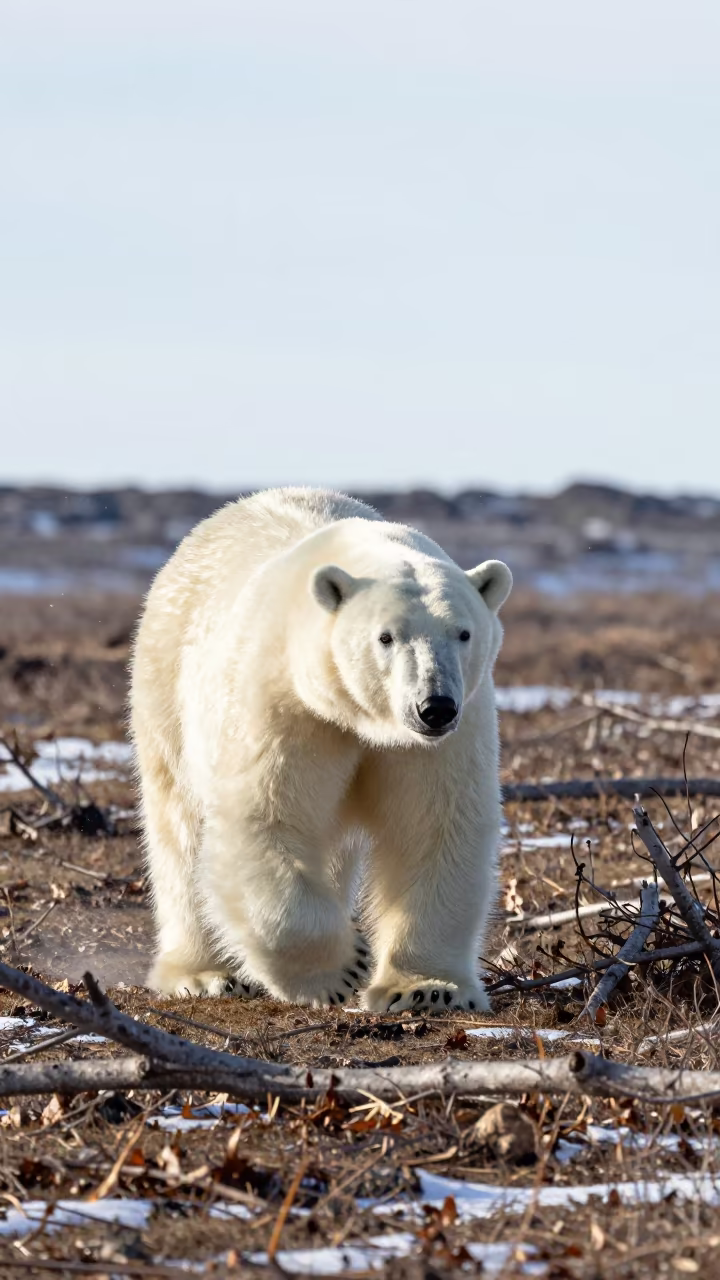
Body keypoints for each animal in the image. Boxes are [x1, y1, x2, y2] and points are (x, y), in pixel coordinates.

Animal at [130, 487, 512, 1013]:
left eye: (464, 632)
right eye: (386, 636)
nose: (434, 707)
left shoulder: (444, 737)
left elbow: (435, 826)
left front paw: (427, 989)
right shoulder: (284, 703)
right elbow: (263, 817)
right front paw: (340, 969)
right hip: (166, 683)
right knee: (179, 826)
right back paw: (205, 973)